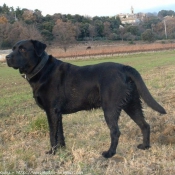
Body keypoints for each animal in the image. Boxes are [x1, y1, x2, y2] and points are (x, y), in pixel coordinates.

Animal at [6, 40, 166, 159]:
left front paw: (52, 152)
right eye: (13, 48)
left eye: (22, 49)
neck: (42, 69)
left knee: (115, 131)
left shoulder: (51, 111)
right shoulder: (58, 113)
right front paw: (62, 150)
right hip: (132, 104)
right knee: (145, 125)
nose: (7, 57)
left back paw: (109, 154)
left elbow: (52, 134)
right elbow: (60, 134)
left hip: (110, 108)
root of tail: (124, 68)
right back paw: (145, 147)